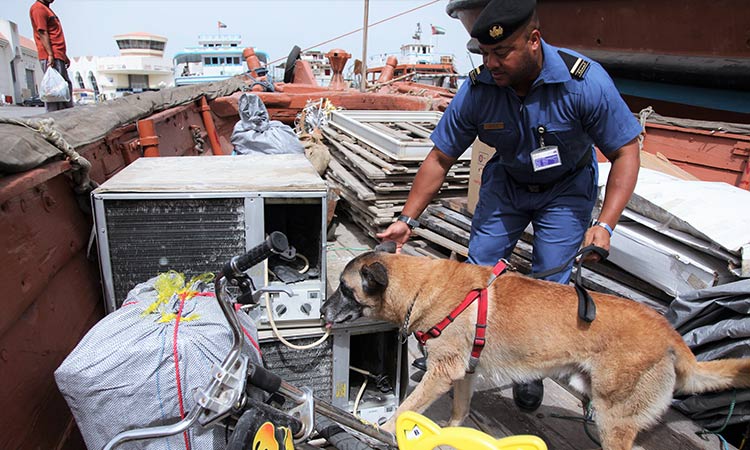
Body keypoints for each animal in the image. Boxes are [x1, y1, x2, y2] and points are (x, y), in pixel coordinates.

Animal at [322, 250, 750, 450]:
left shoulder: (441, 373)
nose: (323, 311)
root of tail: (671, 334)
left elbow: (406, 408)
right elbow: (459, 412)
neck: (421, 286)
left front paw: (379, 429)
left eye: (344, 289)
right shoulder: (465, 374)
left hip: (613, 417)